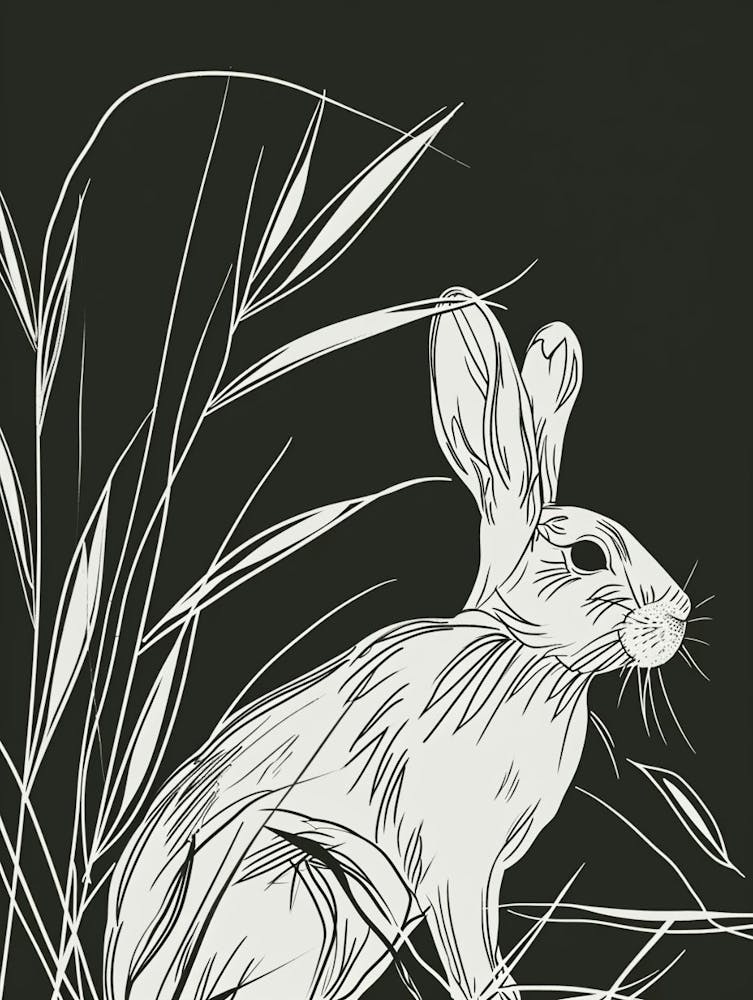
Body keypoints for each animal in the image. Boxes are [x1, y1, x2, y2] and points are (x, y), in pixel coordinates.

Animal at [103, 288, 692, 1000]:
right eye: (587, 555)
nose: (679, 616)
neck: (523, 649)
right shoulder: (455, 864)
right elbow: (472, 950)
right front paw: (498, 990)